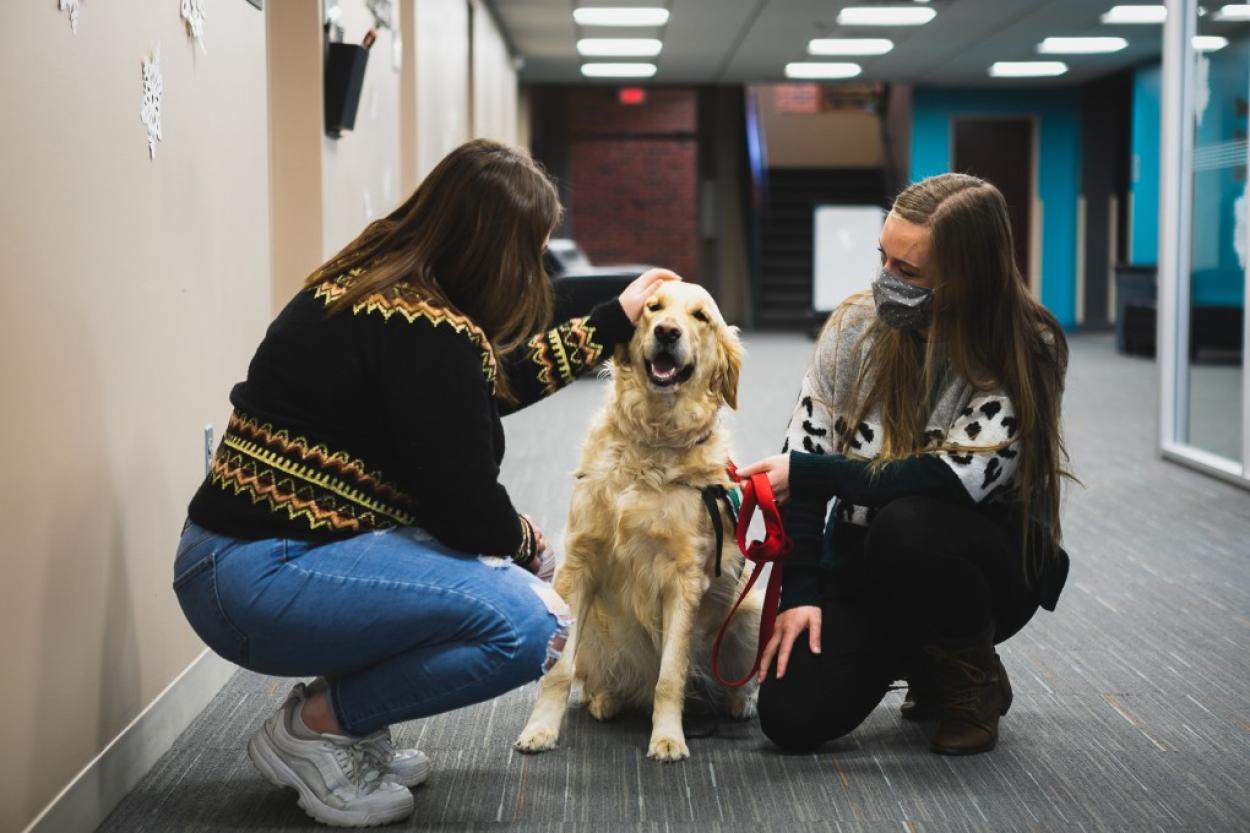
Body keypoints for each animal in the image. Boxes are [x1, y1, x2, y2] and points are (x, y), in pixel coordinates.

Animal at [510, 280, 760, 760]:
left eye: (700, 316)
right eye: (653, 307)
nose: (667, 332)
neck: (653, 440)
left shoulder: (683, 580)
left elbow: (671, 676)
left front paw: (668, 737)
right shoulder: (579, 565)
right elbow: (559, 673)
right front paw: (541, 730)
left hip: (751, 609)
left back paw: (739, 702)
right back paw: (605, 699)